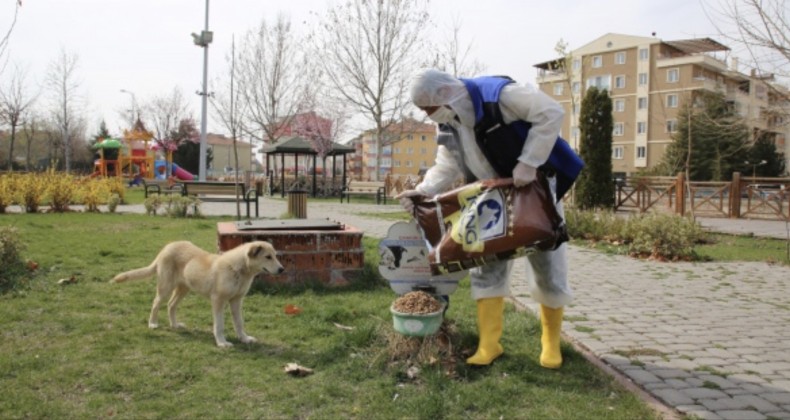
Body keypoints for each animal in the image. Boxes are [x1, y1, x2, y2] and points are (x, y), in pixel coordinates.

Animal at [111, 241, 284, 346]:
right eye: (268, 257)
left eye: (275, 255)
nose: (282, 270)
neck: (240, 270)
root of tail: (167, 247)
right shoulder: (218, 301)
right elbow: (219, 325)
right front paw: (222, 343)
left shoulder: (236, 301)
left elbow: (239, 323)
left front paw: (244, 338)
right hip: (165, 288)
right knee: (156, 303)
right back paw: (152, 323)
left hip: (183, 289)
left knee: (171, 305)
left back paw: (175, 325)